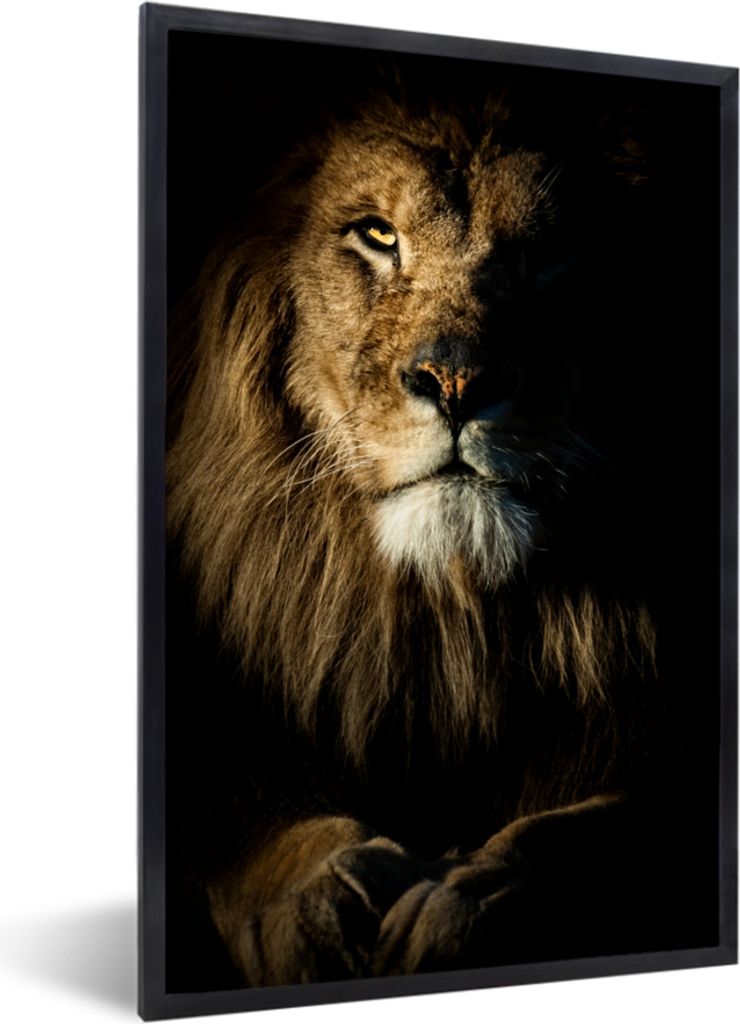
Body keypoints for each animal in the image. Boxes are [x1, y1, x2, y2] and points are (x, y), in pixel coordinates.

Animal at [165, 77, 719, 991]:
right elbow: (244, 817)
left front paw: (475, 905)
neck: (447, 623)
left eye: (549, 251)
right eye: (378, 235)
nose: (458, 381)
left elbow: (591, 831)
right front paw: (321, 899)